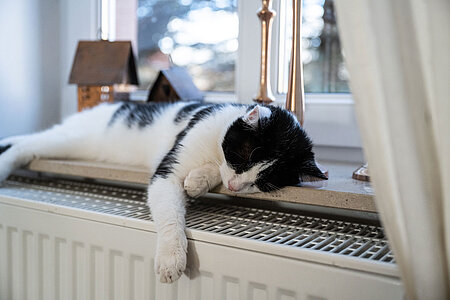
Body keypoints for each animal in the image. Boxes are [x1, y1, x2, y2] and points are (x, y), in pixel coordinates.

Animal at [0, 101, 326, 284]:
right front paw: (172, 258)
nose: (236, 187)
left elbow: (211, 173)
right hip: (72, 140)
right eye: (243, 157)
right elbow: (171, 218)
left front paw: (198, 180)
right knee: (24, 145)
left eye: (262, 183)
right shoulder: (167, 172)